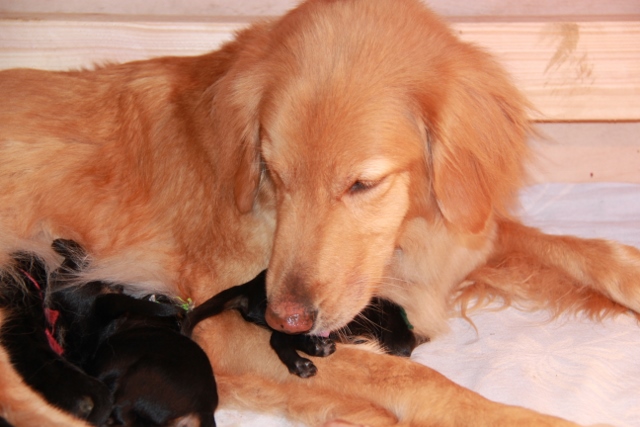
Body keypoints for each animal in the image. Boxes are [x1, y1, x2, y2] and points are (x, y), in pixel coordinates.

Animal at [182, 270, 417, 378]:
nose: (406, 352)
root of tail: (249, 286)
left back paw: (318, 348)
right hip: (294, 319)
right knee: (277, 339)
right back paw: (300, 364)